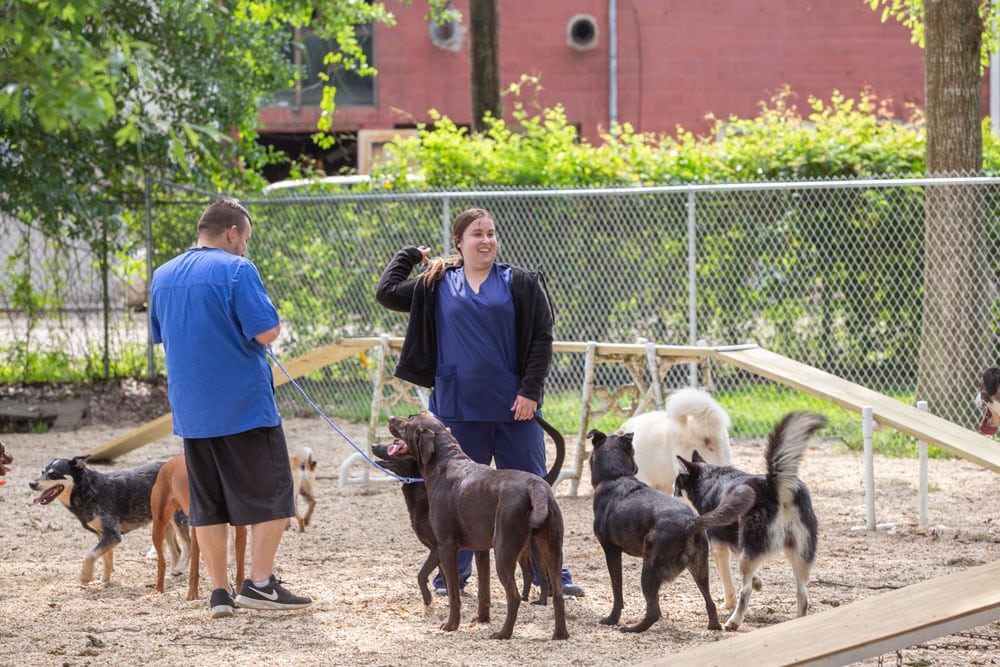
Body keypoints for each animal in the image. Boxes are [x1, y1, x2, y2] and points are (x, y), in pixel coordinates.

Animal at [28, 456, 164, 588]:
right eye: (42, 472)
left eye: (54, 474)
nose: (31, 483)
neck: (87, 490)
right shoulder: (102, 535)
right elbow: (107, 560)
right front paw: (104, 581)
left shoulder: (112, 535)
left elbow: (90, 555)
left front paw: (85, 576)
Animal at [150, 454, 248, 600]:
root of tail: (168, 463)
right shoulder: (198, 530)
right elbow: (194, 568)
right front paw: (192, 595)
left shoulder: (241, 530)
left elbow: (240, 568)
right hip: (159, 526)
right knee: (161, 562)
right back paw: (158, 588)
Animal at [384, 412, 568, 640]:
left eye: (408, 420)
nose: (390, 417)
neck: (445, 461)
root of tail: (536, 486)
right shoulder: (481, 549)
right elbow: (483, 590)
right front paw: (482, 619)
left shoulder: (445, 547)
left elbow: (454, 594)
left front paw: (451, 624)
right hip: (551, 549)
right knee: (558, 594)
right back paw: (560, 634)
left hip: (504, 552)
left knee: (514, 596)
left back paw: (503, 633)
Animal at [588, 430, 740, 636]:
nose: (637, 467)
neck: (615, 477)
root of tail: (690, 523)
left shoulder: (611, 551)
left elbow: (617, 590)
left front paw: (612, 619)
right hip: (700, 570)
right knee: (710, 603)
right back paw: (714, 625)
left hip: (649, 569)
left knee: (652, 612)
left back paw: (632, 629)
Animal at [672, 412, 828, 632]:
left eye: (677, 487)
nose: (668, 495)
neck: (710, 479)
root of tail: (775, 486)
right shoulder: (740, 544)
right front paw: (758, 582)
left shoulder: (720, 547)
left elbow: (728, 583)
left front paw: (728, 603)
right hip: (797, 553)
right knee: (803, 593)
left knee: (744, 591)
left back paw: (734, 621)